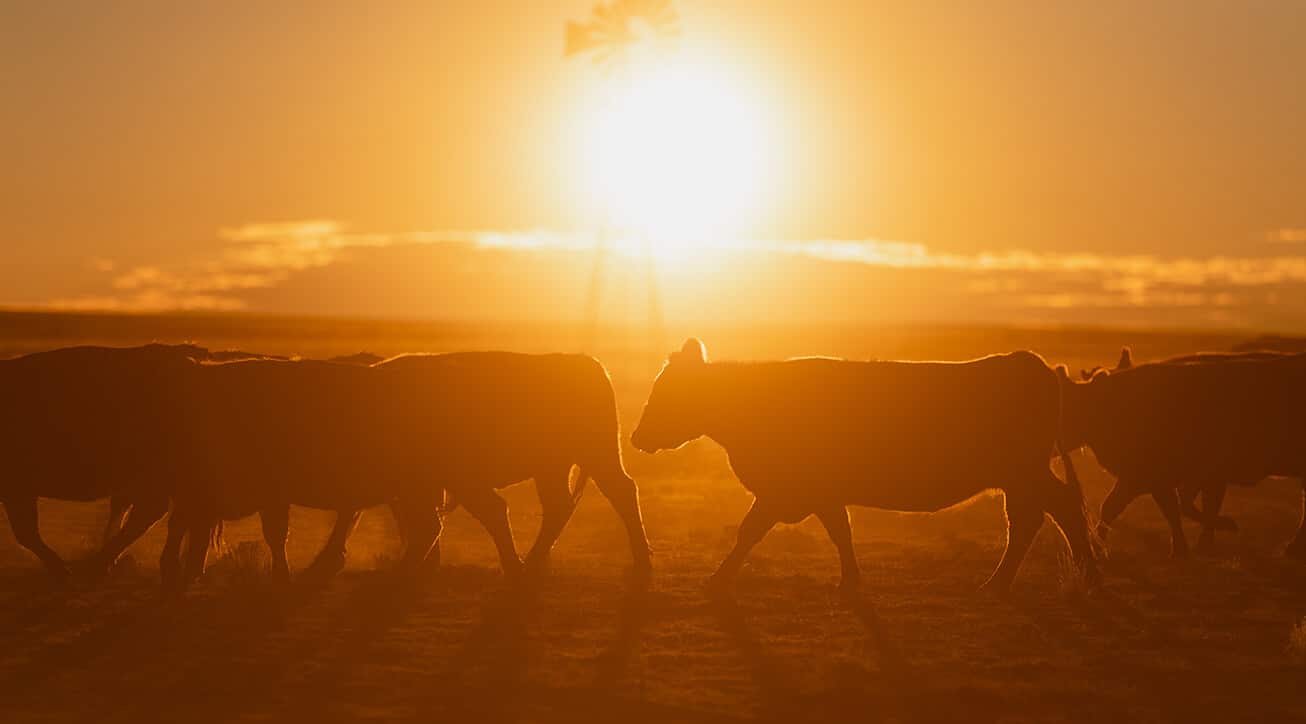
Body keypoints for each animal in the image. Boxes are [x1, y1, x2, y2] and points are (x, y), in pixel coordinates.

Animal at [162, 351, 651, 591]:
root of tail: (586, 363)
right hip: (554, 467)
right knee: (545, 510)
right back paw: (523, 566)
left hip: (593, 457)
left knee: (616, 496)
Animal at [630, 338, 1096, 596]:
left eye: (667, 391)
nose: (637, 437)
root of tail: (1029, 361)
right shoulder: (819, 493)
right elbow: (840, 531)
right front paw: (851, 580)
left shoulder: (788, 490)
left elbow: (751, 531)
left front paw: (717, 580)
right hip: (1020, 476)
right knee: (1044, 514)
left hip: (1023, 473)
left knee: (1050, 512)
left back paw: (1030, 579)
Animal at [1062, 351, 1306, 559]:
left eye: (1071, 405)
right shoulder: (1146, 477)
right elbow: (1119, 507)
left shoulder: (1185, 474)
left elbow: (1184, 506)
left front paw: (1215, 532)